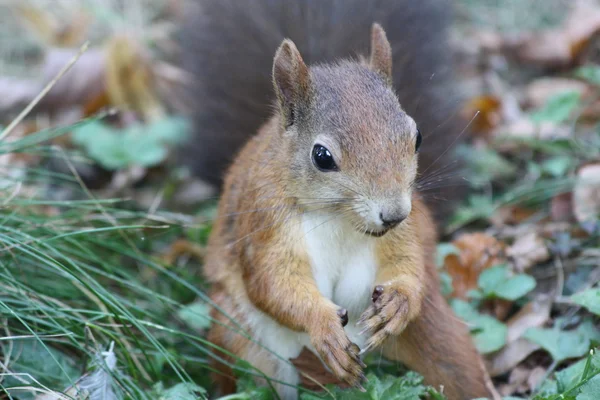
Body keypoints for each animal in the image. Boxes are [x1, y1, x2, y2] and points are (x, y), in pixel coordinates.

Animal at [196, 17, 492, 400]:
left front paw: (400, 300)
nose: (393, 214)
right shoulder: (263, 221)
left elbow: (411, 263)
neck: (338, 218)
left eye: (417, 136)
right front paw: (322, 324)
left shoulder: (408, 228)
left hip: (438, 338)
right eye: (322, 156)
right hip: (235, 336)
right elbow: (272, 283)